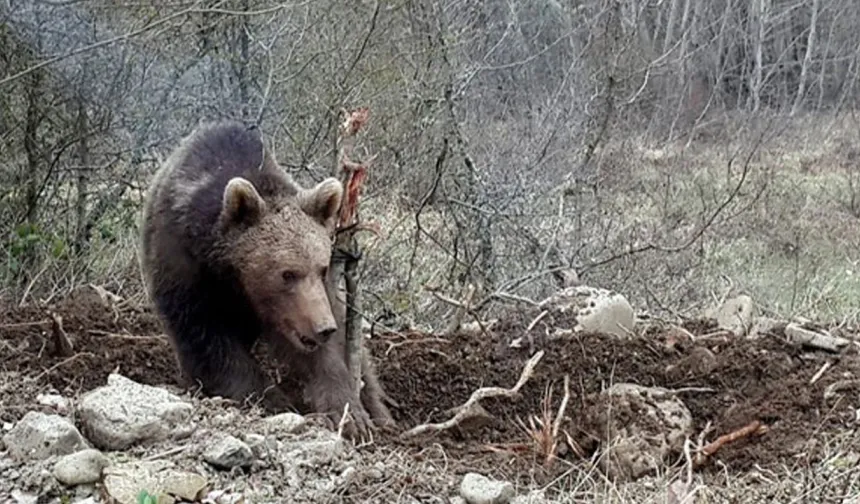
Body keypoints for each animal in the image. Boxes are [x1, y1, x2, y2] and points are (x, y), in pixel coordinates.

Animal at [140, 120, 394, 440]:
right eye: (287, 273)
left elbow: (323, 353)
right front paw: (271, 398)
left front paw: (350, 415)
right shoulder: (185, 266)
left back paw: (380, 412)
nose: (323, 328)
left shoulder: (307, 304)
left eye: (322, 268)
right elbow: (206, 337)